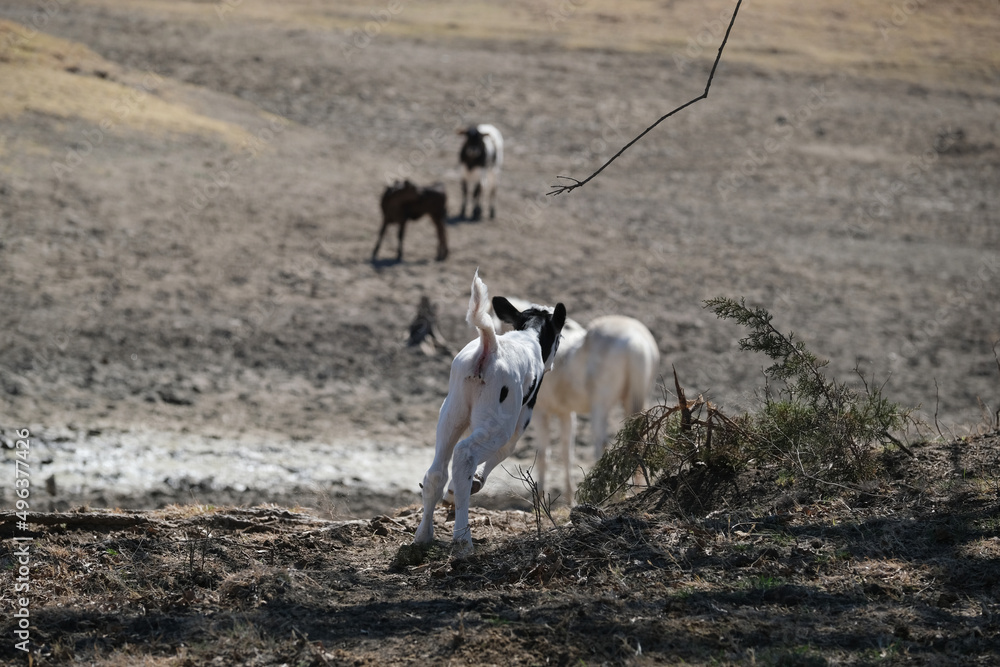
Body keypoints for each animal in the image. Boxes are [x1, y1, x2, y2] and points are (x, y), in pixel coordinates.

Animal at [414, 272, 568, 552]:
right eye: (559, 338)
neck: (527, 336)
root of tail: (490, 346)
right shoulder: (520, 421)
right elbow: (505, 452)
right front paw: (475, 481)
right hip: (498, 424)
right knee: (465, 455)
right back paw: (462, 541)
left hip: (450, 415)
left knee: (436, 471)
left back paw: (423, 536)